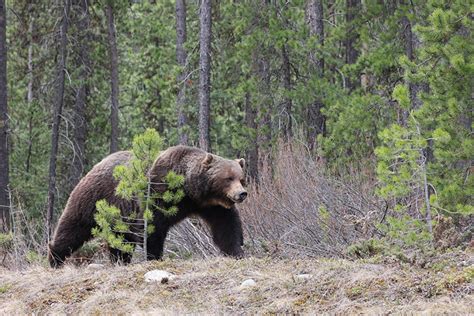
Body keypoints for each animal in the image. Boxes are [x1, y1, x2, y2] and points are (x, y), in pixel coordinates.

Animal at [48, 145, 248, 266]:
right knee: (73, 227)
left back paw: (120, 260)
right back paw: (55, 258)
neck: (188, 189)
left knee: (119, 240)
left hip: (117, 214)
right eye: (228, 178)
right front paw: (154, 256)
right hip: (94, 198)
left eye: (241, 178)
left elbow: (226, 226)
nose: (242, 194)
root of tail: (98, 163)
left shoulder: (211, 205)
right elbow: (152, 227)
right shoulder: (158, 190)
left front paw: (237, 251)